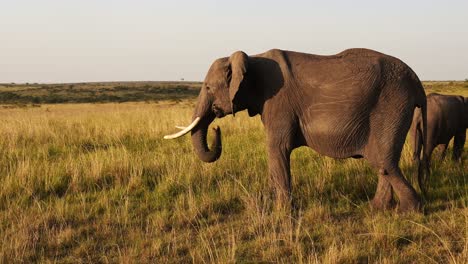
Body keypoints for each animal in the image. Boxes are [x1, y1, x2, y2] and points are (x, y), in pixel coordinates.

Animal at [165, 48, 428, 212]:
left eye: (208, 88)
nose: (217, 127)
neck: (252, 58)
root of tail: (417, 82)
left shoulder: (278, 102)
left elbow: (276, 149)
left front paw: (282, 213)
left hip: (392, 105)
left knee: (384, 161)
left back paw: (409, 211)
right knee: (384, 163)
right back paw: (378, 208)